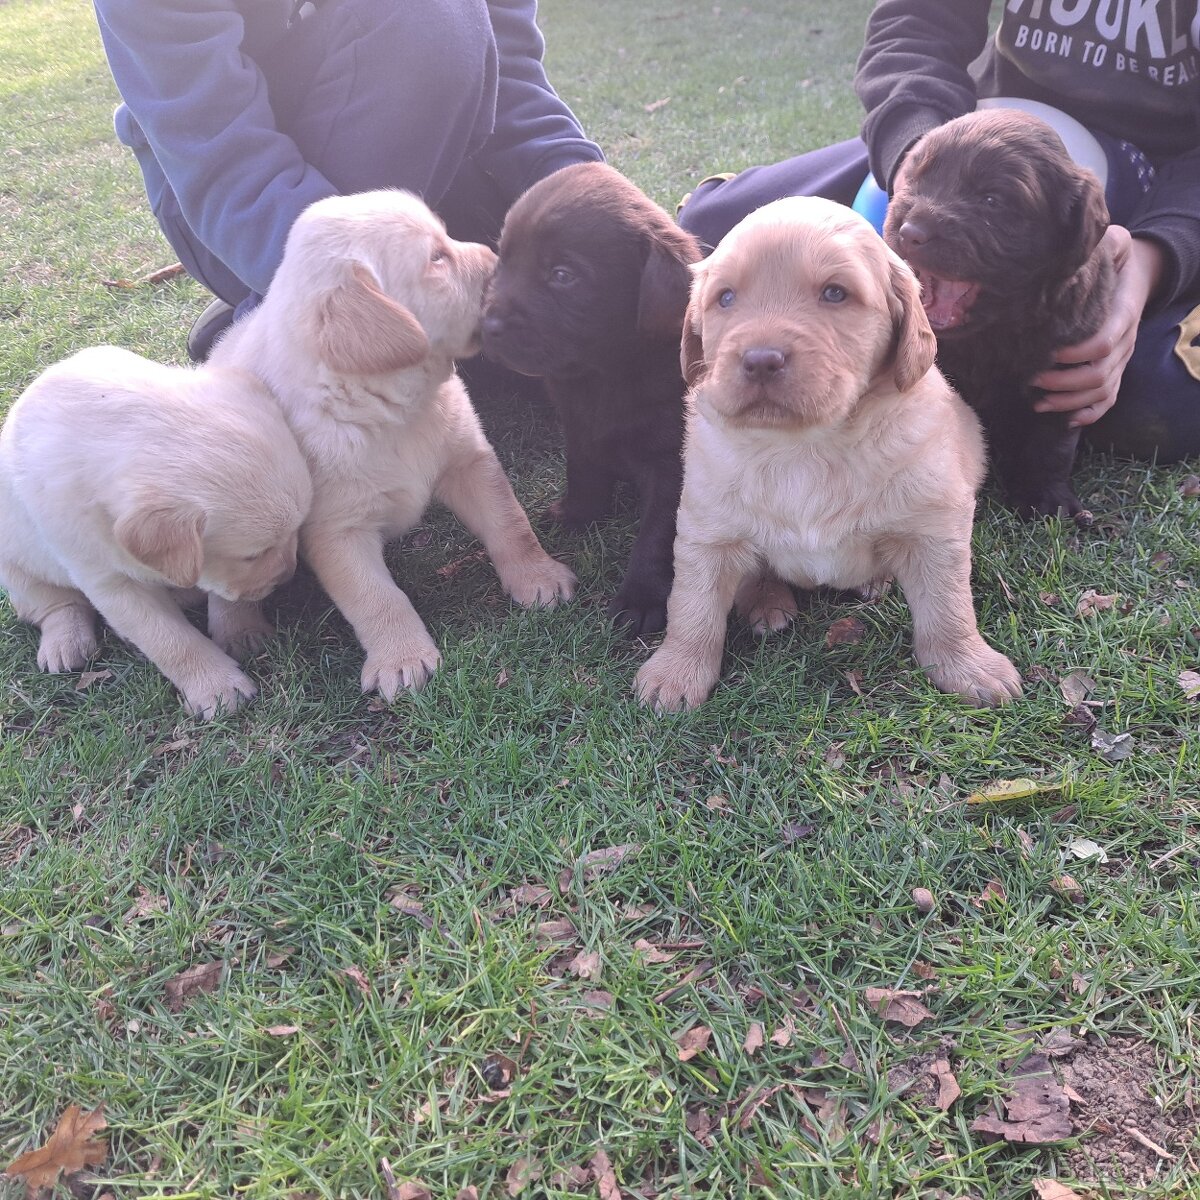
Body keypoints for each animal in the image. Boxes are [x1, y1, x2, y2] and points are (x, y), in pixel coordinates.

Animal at [213, 190, 578, 700]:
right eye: (437, 258)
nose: (495, 259)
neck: (393, 406)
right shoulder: (337, 531)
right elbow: (376, 597)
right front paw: (401, 658)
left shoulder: (470, 462)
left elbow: (511, 525)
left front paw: (538, 577)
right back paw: (237, 629)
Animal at [480, 166, 700, 648]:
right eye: (503, 258)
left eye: (562, 275)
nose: (486, 324)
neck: (605, 373)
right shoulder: (578, 425)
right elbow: (582, 469)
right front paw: (578, 512)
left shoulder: (672, 461)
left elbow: (658, 534)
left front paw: (640, 598)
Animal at [638, 196, 1022, 710]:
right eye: (725, 298)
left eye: (836, 294)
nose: (760, 360)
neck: (805, 446)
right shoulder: (707, 531)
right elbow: (691, 606)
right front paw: (675, 673)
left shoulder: (934, 526)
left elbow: (948, 605)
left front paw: (969, 665)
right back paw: (766, 601)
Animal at [883, 110, 1113, 523]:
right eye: (916, 178)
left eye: (991, 200)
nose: (910, 232)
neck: (992, 332)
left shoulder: (1064, 378)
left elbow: (1050, 444)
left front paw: (1048, 498)